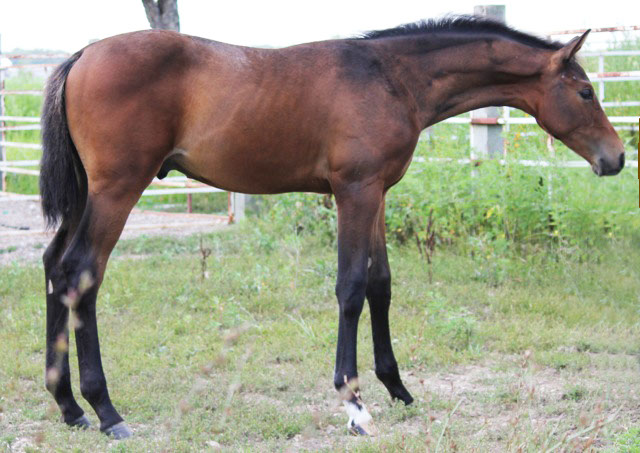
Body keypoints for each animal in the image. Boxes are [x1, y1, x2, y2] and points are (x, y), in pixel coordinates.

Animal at [39, 16, 625, 438]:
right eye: (586, 93)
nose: (616, 158)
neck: (391, 77)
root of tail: (82, 56)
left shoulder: (379, 193)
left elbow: (381, 285)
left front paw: (398, 389)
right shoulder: (354, 192)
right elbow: (350, 289)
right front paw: (355, 404)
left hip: (87, 195)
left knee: (55, 268)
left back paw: (69, 406)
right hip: (118, 189)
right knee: (83, 273)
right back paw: (106, 410)